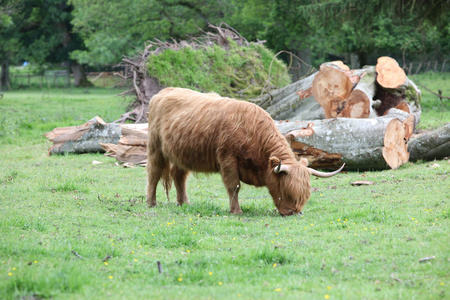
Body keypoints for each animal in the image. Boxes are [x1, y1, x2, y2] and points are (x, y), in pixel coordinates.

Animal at [146, 86, 342, 216]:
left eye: (304, 195)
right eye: (286, 190)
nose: (294, 213)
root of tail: (163, 92)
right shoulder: (227, 158)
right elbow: (234, 186)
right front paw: (236, 211)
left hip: (181, 153)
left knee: (178, 175)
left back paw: (184, 203)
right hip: (155, 147)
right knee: (154, 174)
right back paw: (151, 203)